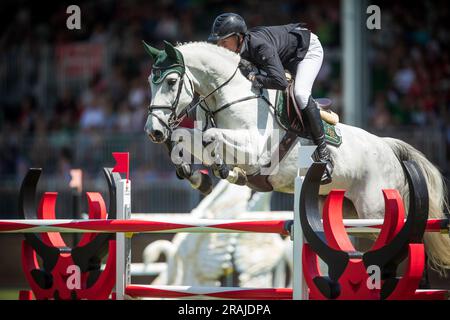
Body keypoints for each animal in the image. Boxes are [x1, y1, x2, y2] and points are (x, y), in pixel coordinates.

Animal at [143, 41, 450, 274]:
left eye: (171, 81)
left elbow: (211, 136)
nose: (153, 130)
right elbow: (185, 137)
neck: (230, 95)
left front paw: (224, 170)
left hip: (374, 212)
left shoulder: (256, 151)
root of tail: (389, 148)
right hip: (345, 213)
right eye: (150, 82)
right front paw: (198, 176)